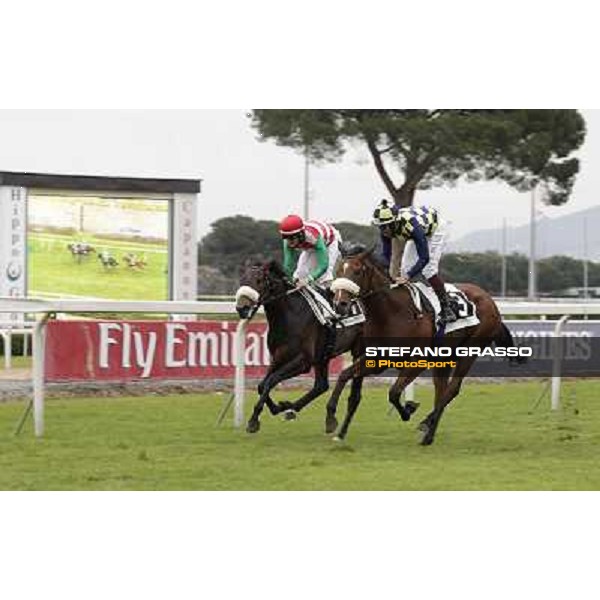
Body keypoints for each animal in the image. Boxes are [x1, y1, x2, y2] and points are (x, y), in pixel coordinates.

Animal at [237, 260, 364, 434]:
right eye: (242, 279)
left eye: (259, 281)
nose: (241, 308)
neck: (289, 315)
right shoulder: (278, 357)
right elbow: (262, 384)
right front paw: (277, 407)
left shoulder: (303, 362)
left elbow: (271, 380)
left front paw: (254, 420)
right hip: (323, 356)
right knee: (321, 386)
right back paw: (297, 410)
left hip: (357, 349)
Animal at [328, 250, 520, 446]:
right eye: (338, 270)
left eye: (357, 271)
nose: (340, 304)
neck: (392, 312)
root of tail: (490, 300)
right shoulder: (377, 359)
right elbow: (344, 375)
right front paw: (331, 418)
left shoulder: (417, 361)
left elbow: (394, 392)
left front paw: (408, 410)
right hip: (444, 358)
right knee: (441, 391)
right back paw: (429, 434)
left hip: (470, 351)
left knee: (451, 390)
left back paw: (427, 424)